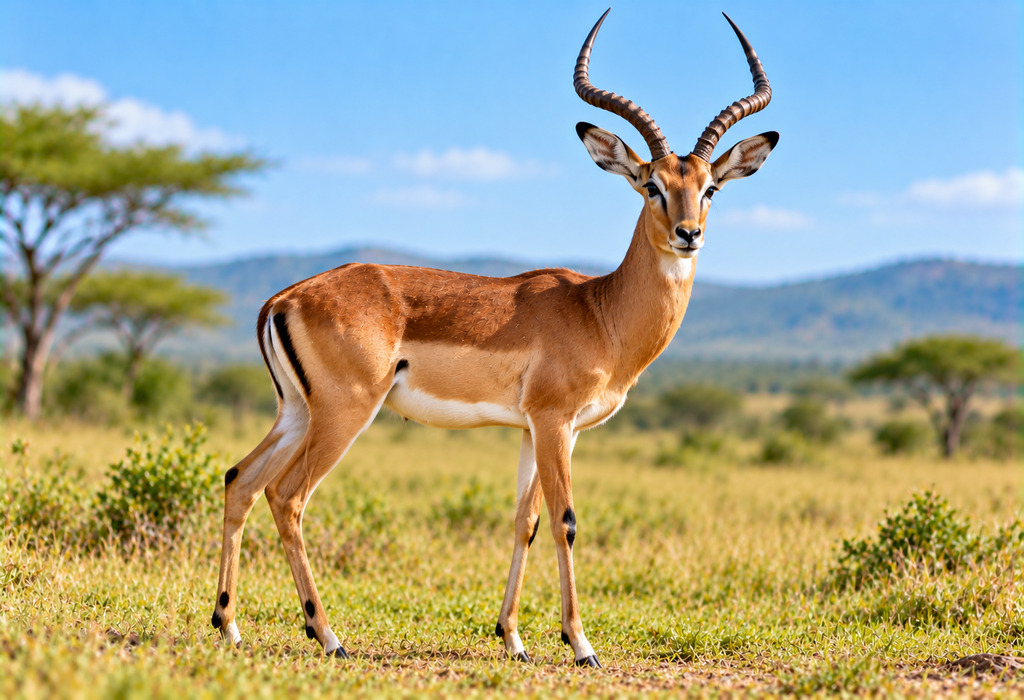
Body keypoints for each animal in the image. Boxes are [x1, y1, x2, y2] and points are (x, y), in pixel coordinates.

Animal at [211, 9, 778, 667]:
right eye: (650, 184)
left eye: (710, 187)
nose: (688, 234)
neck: (599, 311)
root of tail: (284, 298)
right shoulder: (556, 422)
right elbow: (565, 520)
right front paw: (580, 644)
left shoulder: (537, 429)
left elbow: (523, 522)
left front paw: (513, 638)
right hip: (344, 413)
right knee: (287, 496)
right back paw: (328, 635)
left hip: (297, 413)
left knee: (240, 481)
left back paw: (229, 625)